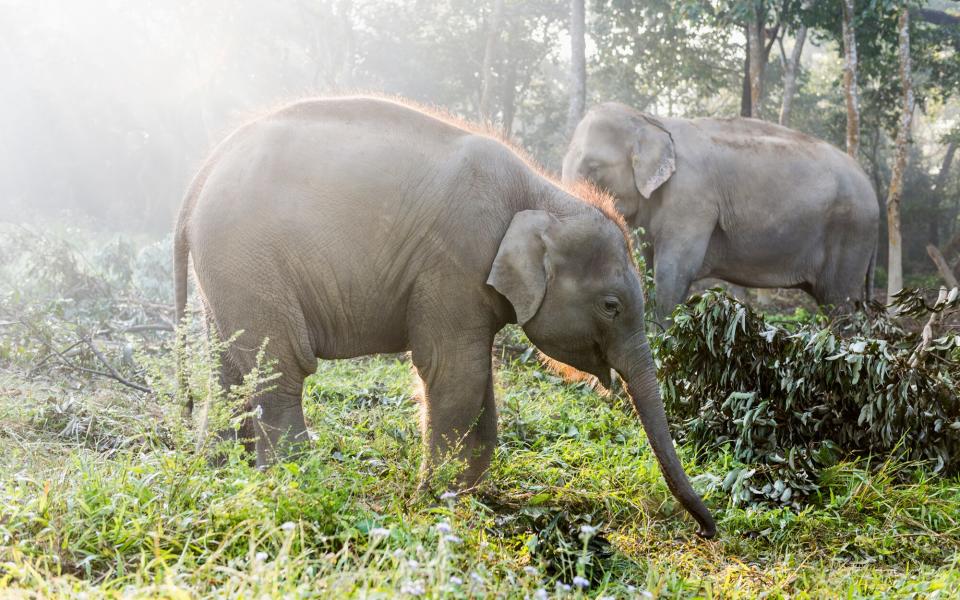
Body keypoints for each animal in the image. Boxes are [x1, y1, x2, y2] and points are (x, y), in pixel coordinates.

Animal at [172, 96, 716, 536]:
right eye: (611, 306)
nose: (708, 528)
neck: (542, 194)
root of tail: (202, 171)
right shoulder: (453, 262)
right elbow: (453, 374)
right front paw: (432, 502)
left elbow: (479, 384)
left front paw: (463, 494)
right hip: (249, 258)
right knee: (280, 371)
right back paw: (297, 484)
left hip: (227, 273)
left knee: (228, 372)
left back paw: (217, 475)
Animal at [560, 104, 880, 318]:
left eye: (593, 168)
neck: (650, 119)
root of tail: (870, 184)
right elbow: (649, 267)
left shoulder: (692, 199)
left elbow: (672, 272)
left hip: (851, 232)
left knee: (839, 302)